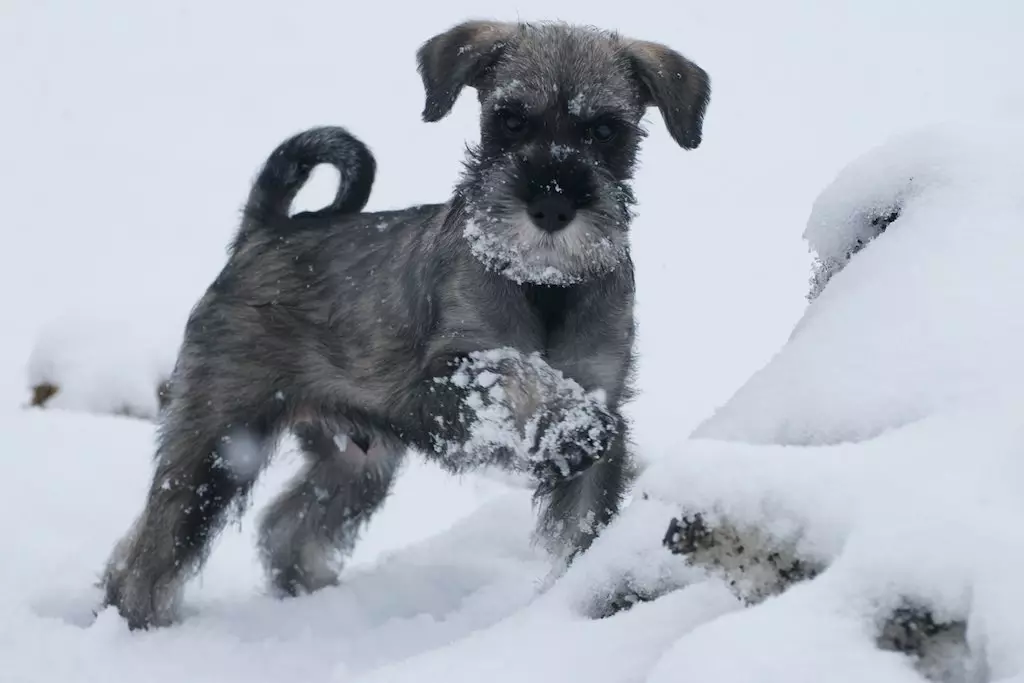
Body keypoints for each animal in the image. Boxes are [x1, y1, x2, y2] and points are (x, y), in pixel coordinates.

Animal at [99, 18, 708, 630]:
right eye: (510, 119)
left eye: (606, 130)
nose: (552, 207)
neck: (543, 286)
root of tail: (264, 231)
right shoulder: (444, 380)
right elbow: (514, 373)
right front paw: (571, 426)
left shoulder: (602, 391)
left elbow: (585, 524)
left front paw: (598, 599)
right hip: (220, 441)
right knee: (152, 550)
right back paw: (142, 625)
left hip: (354, 460)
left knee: (289, 527)